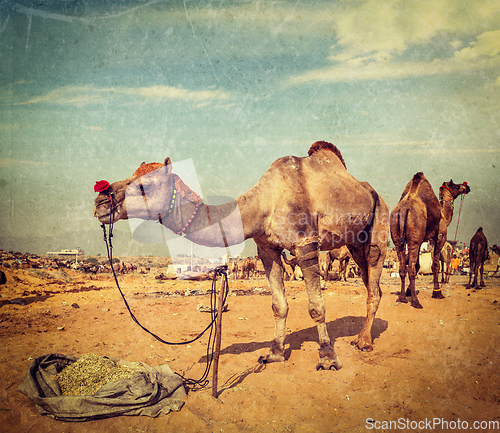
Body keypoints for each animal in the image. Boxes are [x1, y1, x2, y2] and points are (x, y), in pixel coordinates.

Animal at [94, 141, 390, 368]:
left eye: (147, 185)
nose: (100, 200)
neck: (265, 202)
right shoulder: (266, 248)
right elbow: (279, 305)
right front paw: (274, 354)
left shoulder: (305, 243)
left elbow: (316, 307)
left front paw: (327, 357)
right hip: (355, 244)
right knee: (369, 283)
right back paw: (362, 336)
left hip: (379, 228)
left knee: (374, 281)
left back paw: (363, 342)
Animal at [390, 171, 468, 308]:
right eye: (456, 186)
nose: (466, 187)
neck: (444, 216)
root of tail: (404, 209)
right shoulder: (440, 237)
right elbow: (435, 265)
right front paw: (437, 292)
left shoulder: (421, 240)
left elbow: (417, 265)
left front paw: (409, 291)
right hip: (414, 238)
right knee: (410, 268)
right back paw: (415, 302)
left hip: (398, 238)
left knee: (403, 268)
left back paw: (402, 298)